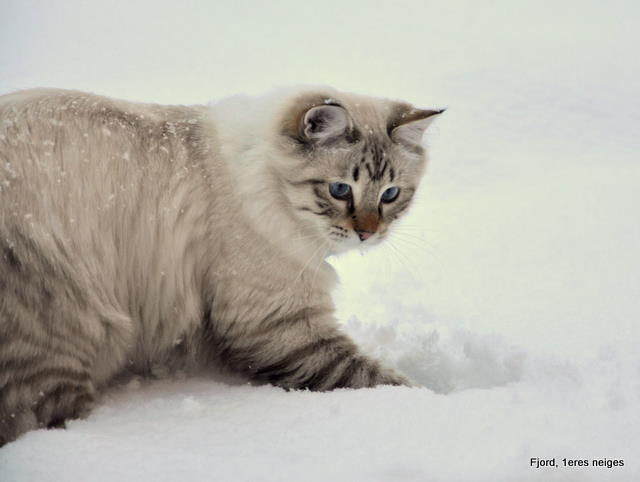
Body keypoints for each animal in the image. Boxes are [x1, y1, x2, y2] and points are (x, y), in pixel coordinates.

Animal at [0, 86, 442, 444]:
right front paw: (437, 405)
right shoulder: (278, 325)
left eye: (390, 195)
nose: (368, 233)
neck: (263, 178)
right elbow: (382, 380)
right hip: (67, 336)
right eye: (339, 190)